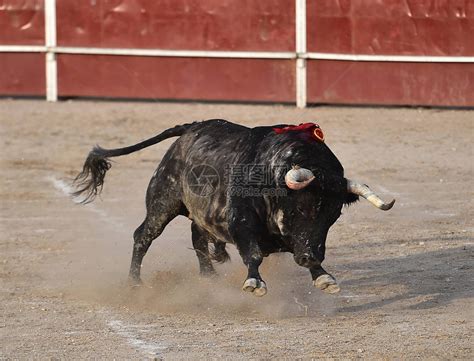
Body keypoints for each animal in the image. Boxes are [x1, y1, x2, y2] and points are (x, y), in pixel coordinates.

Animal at [73, 119, 392, 296]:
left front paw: (323, 276)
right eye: (300, 209)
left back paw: (209, 277)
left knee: (197, 237)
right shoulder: (241, 222)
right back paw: (135, 283)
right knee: (144, 235)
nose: (309, 256)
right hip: (163, 201)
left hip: (198, 212)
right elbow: (252, 253)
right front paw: (254, 283)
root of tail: (190, 129)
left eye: (332, 217)